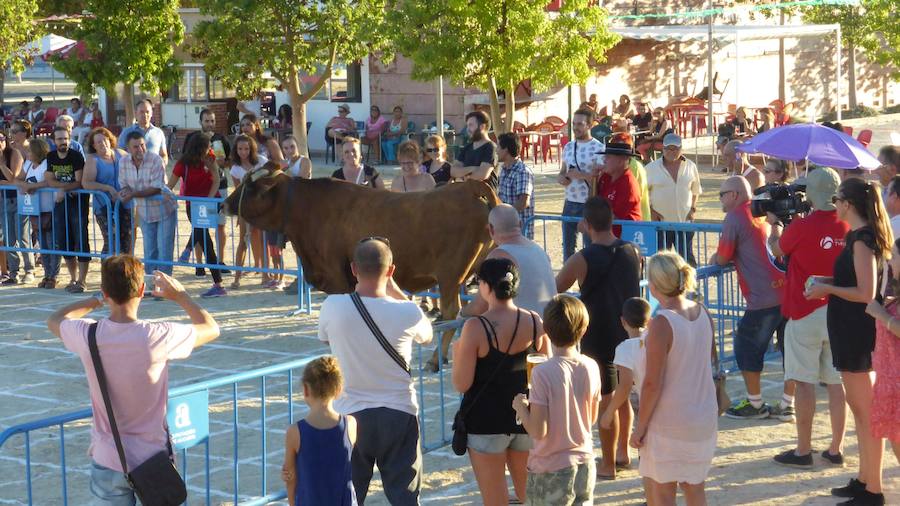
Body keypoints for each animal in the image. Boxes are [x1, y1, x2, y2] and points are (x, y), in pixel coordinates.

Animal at [223, 164, 500, 371]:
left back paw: (435, 360)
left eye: (251, 185)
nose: (223, 204)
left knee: (453, 313)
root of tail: (469, 187)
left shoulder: (337, 276)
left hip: (450, 275)